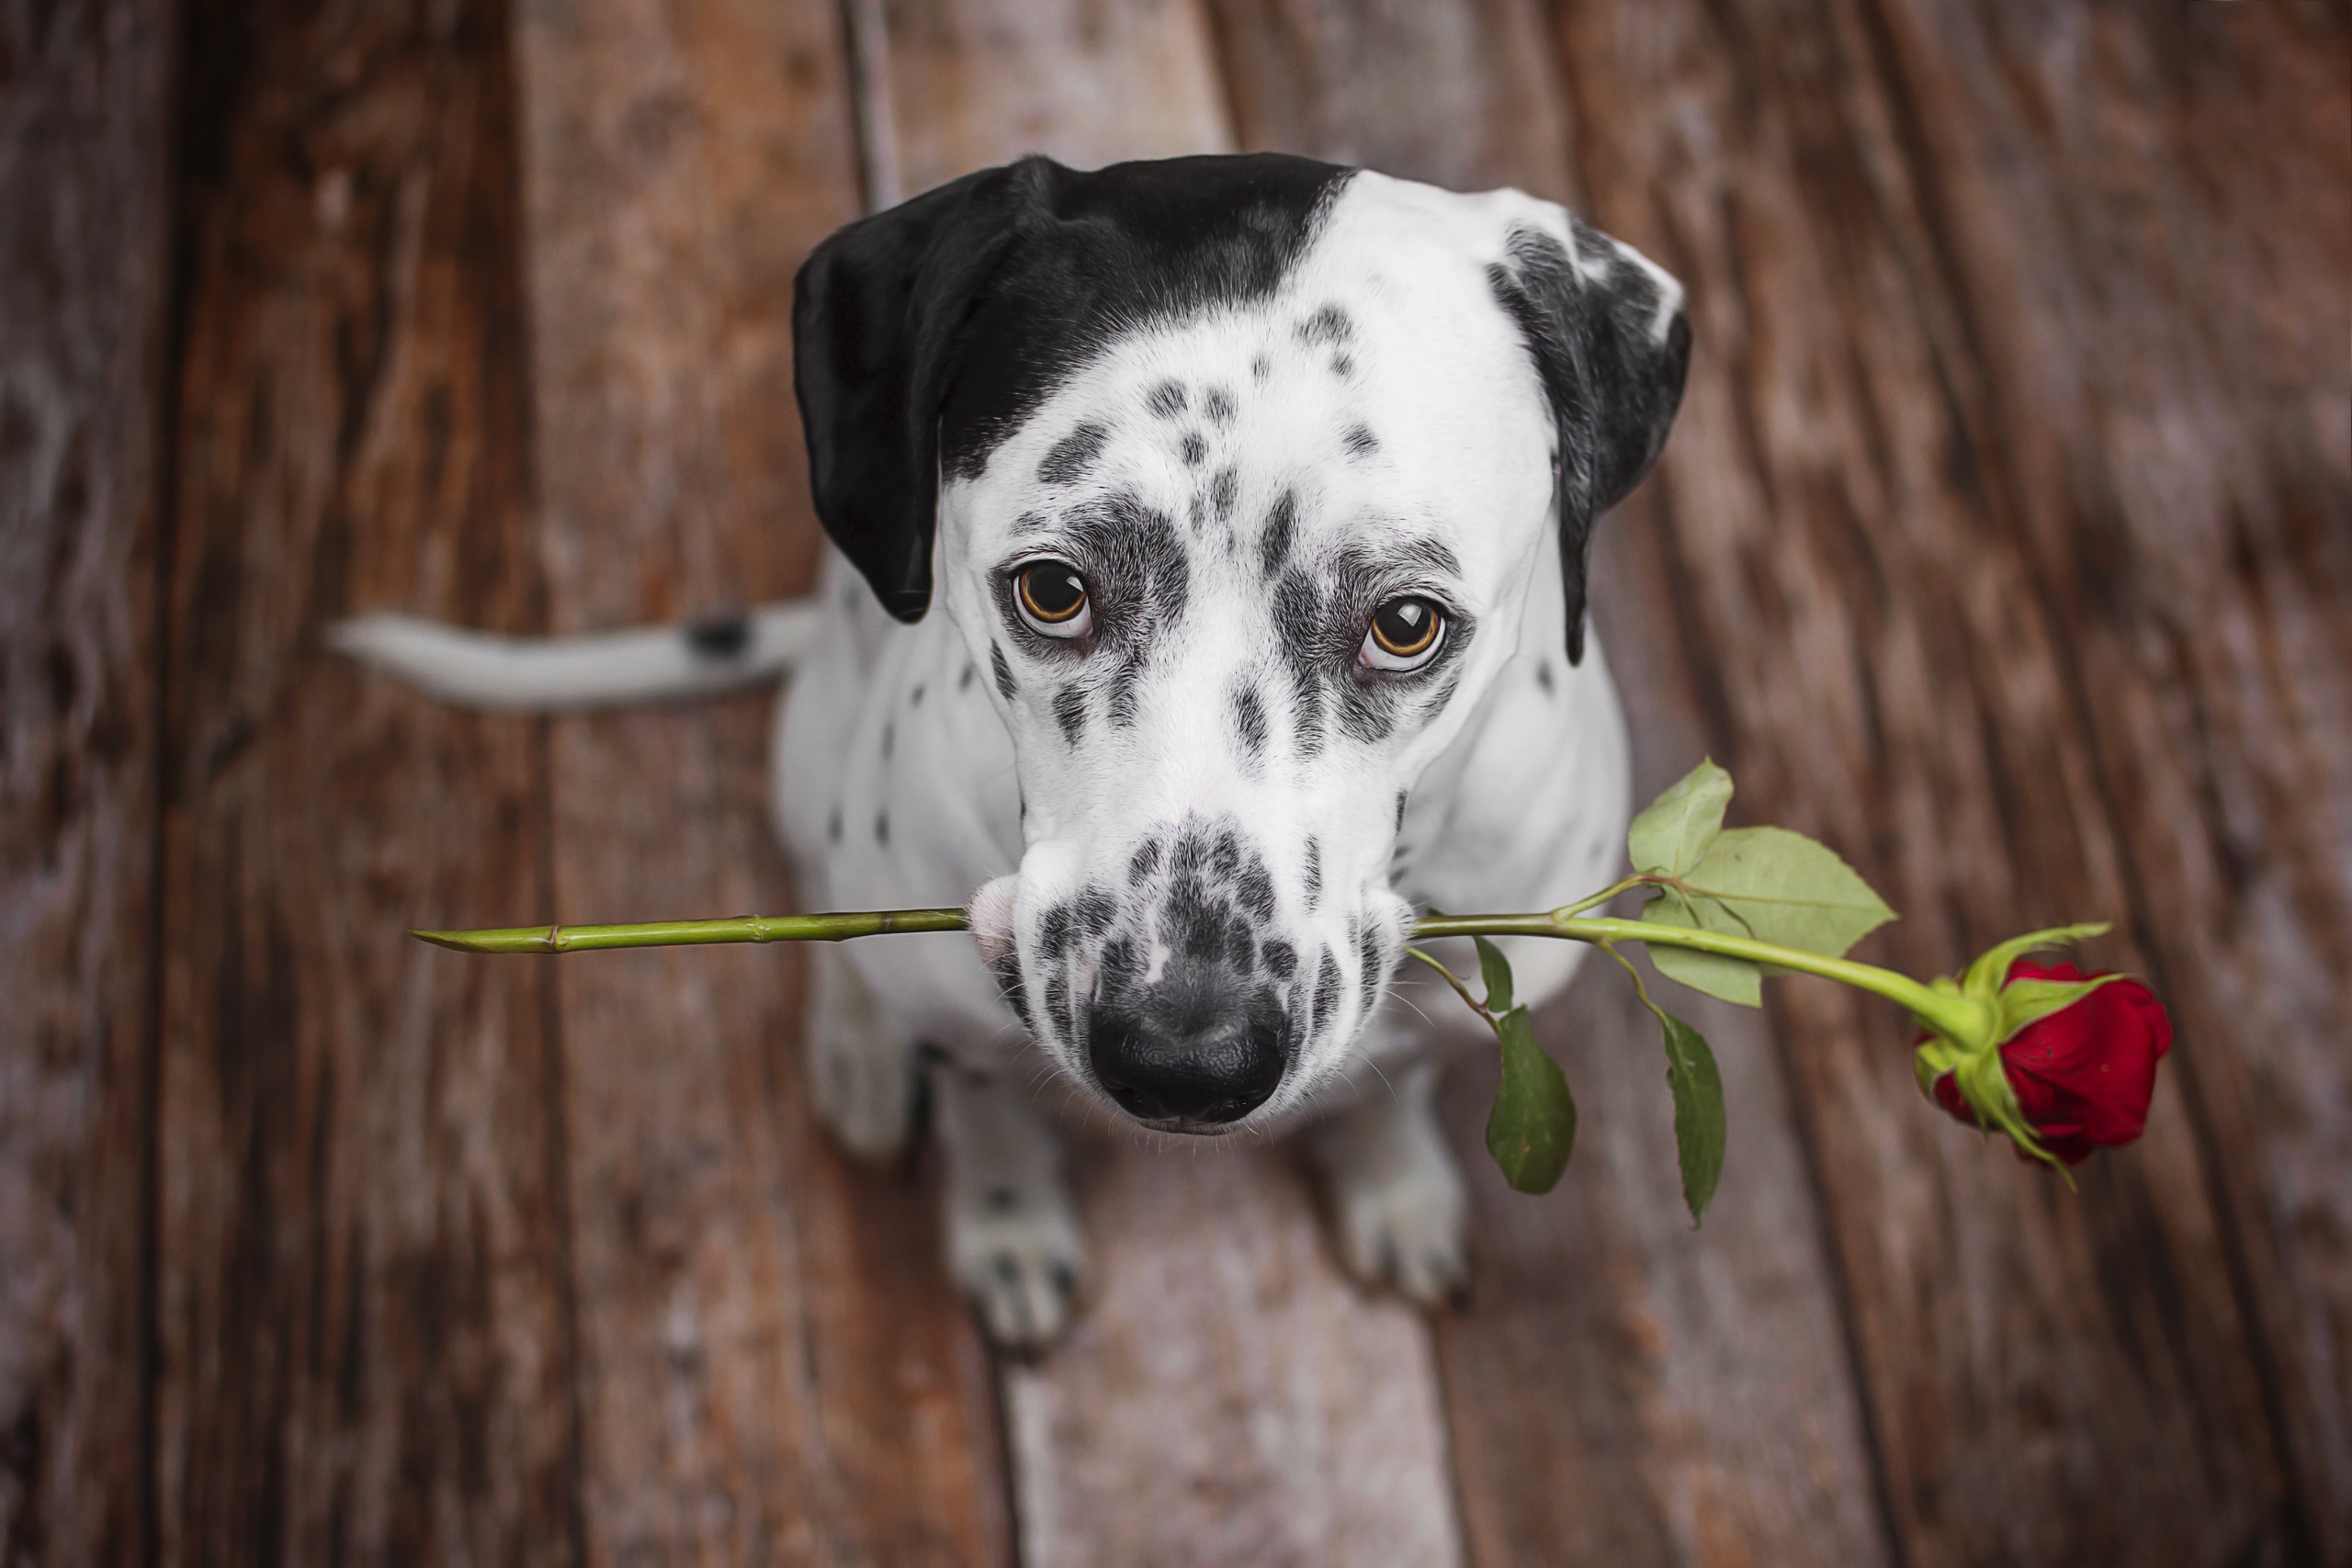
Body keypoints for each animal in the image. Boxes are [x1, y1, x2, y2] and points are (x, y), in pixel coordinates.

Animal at [341, 156, 1683, 1354]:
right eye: (1052, 590)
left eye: (1405, 622)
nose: (1185, 1058)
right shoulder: (965, 1019)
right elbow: (984, 1114)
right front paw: (1004, 1220)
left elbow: (1395, 1088)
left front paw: (1395, 1183)